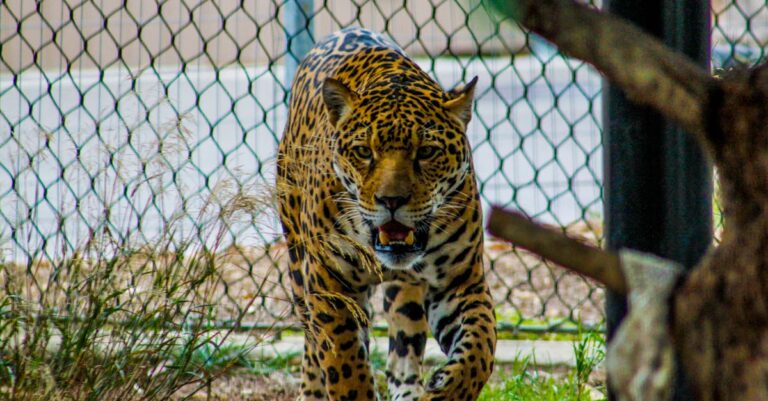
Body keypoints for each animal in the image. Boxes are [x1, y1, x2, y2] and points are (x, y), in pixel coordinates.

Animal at [277, 27, 496, 401]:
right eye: (364, 151)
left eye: (427, 151)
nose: (391, 200)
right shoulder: (329, 285)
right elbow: (344, 367)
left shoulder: (460, 281)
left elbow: (481, 346)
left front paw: (446, 388)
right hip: (297, 262)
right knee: (311, 342)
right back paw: (312, 389)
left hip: (405, 294)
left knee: (404, 346)